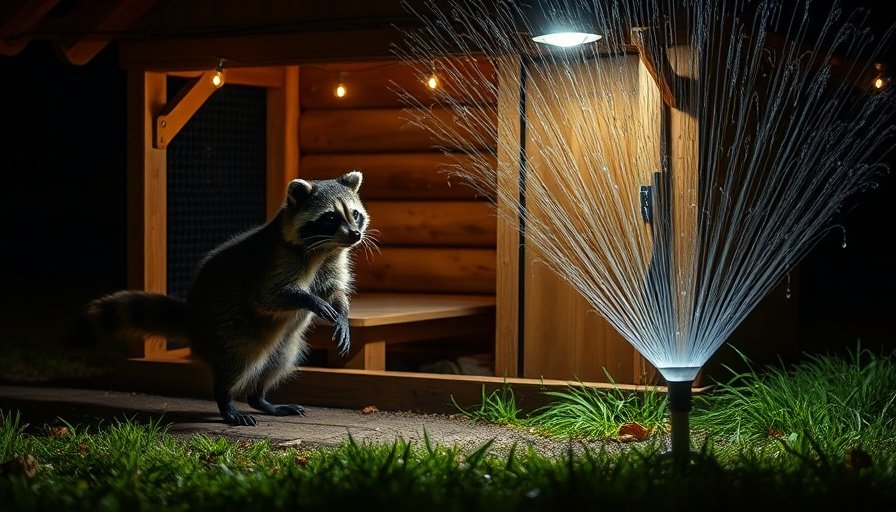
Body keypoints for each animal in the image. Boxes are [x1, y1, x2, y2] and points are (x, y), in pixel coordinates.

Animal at [87, 171, 369, 426]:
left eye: (354, 214)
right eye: (330, 217)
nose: (355, 235)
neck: (325, 248)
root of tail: (192, 318)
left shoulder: (333, 261)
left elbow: (334, 290)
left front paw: (342, 315)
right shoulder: (276, 261)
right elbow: (268, 297)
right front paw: (312, 301)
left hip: (283, 345)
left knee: (279, 362)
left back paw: (260, 398)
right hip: (229, 334)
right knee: (236, 363)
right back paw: (225, 399)